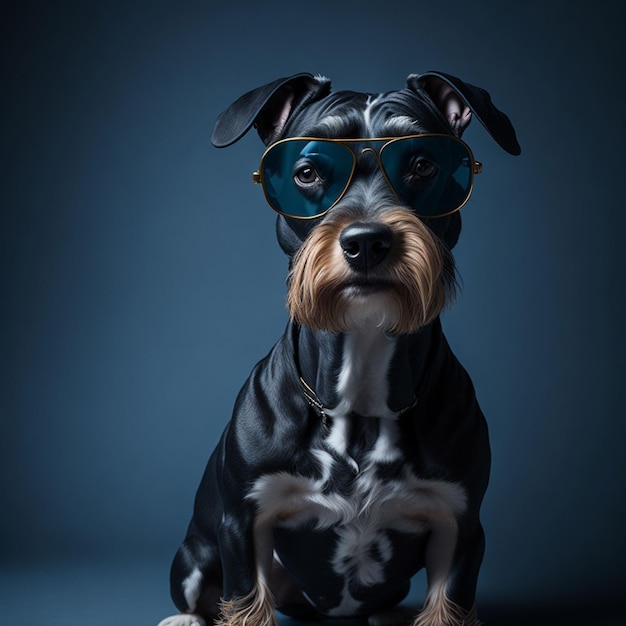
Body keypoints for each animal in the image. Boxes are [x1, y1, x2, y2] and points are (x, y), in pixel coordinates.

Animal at [158, 69, 520, 624]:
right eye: (307, 172)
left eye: (422, 164)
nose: (367, 240)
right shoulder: (241, 523)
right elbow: (243, 600)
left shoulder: (460, 528)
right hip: (195, 554)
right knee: (197, 591)